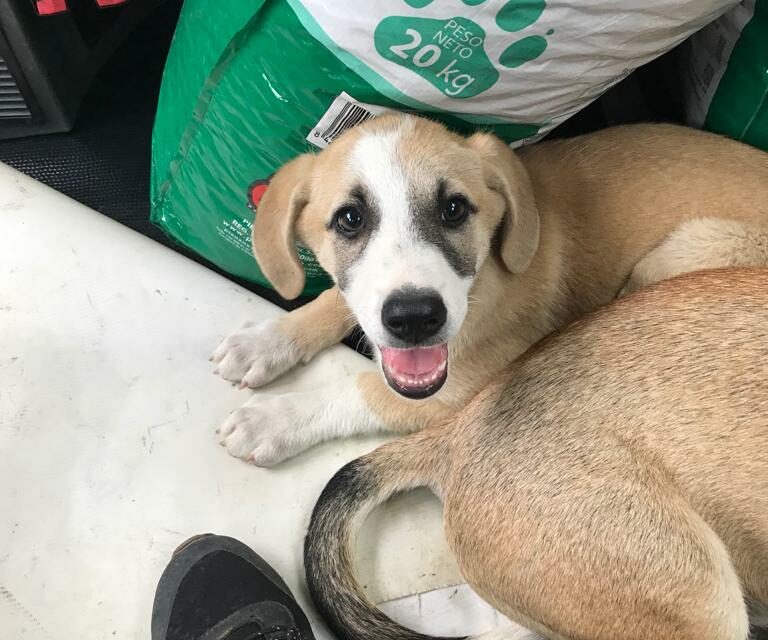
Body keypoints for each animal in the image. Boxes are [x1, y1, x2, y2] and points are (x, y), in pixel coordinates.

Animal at [210, 114, 768, 464]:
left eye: (454, 209)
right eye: (350, 219)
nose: (415, 318)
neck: (485, 283)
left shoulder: (457, 387)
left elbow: (361, 390)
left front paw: (277, 420)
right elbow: (335, 300)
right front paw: (265, 341)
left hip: (686, 251)